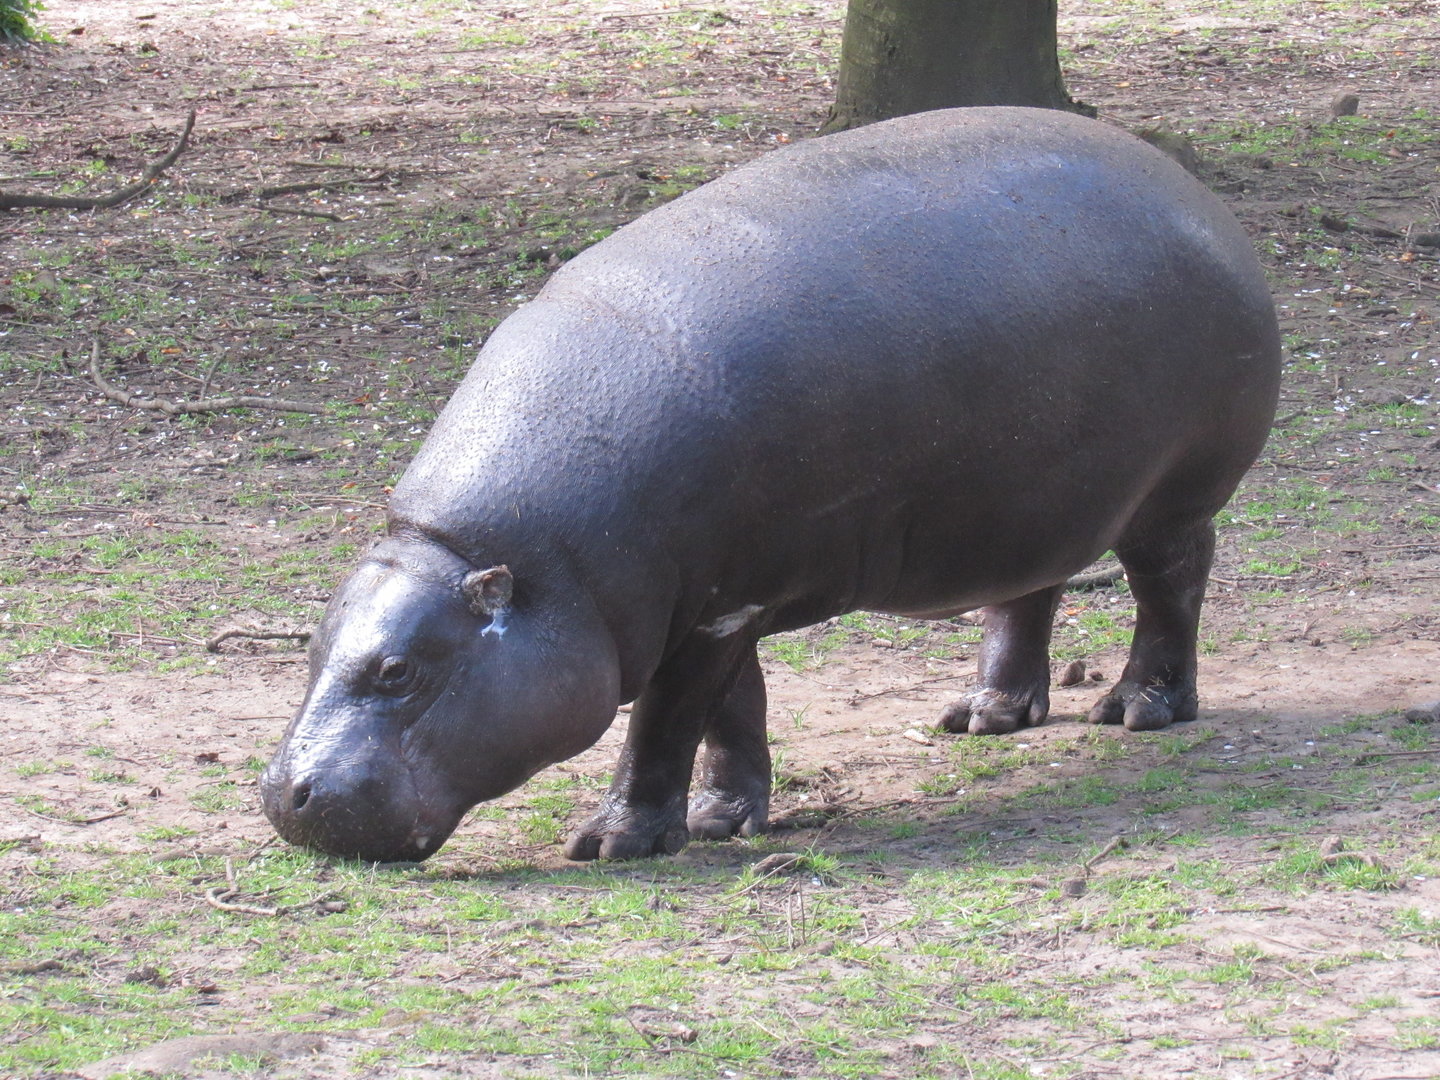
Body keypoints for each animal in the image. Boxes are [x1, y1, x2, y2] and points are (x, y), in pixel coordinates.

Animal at [260, 106, 1281, 864]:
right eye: (309, 647)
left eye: (400, 671)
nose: (282, 796)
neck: (524, 564)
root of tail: (1193, 191)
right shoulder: (719, 598)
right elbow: (732, 712)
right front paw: (722, 819)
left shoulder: (713, 611)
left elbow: (666, 724)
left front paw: (616, 841)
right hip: (1035, 499)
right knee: (1027, 593)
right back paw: (981, 719)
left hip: (1172, 498)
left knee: (1170, 589)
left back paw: (1140, 710)